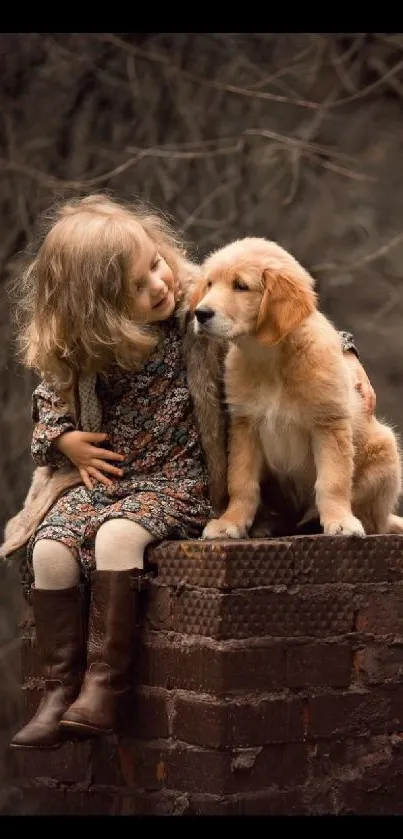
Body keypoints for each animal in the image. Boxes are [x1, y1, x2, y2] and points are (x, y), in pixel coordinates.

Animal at [193, 238, 403, 540]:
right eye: (209, 284)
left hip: (386, 447)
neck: (270, 358)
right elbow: (241, 483)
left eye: (240, 286)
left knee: (374, 520)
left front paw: (340, 521)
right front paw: (230, 522)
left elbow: (332, 481)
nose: (200, 313)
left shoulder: (329, 423)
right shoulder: (244, 425)